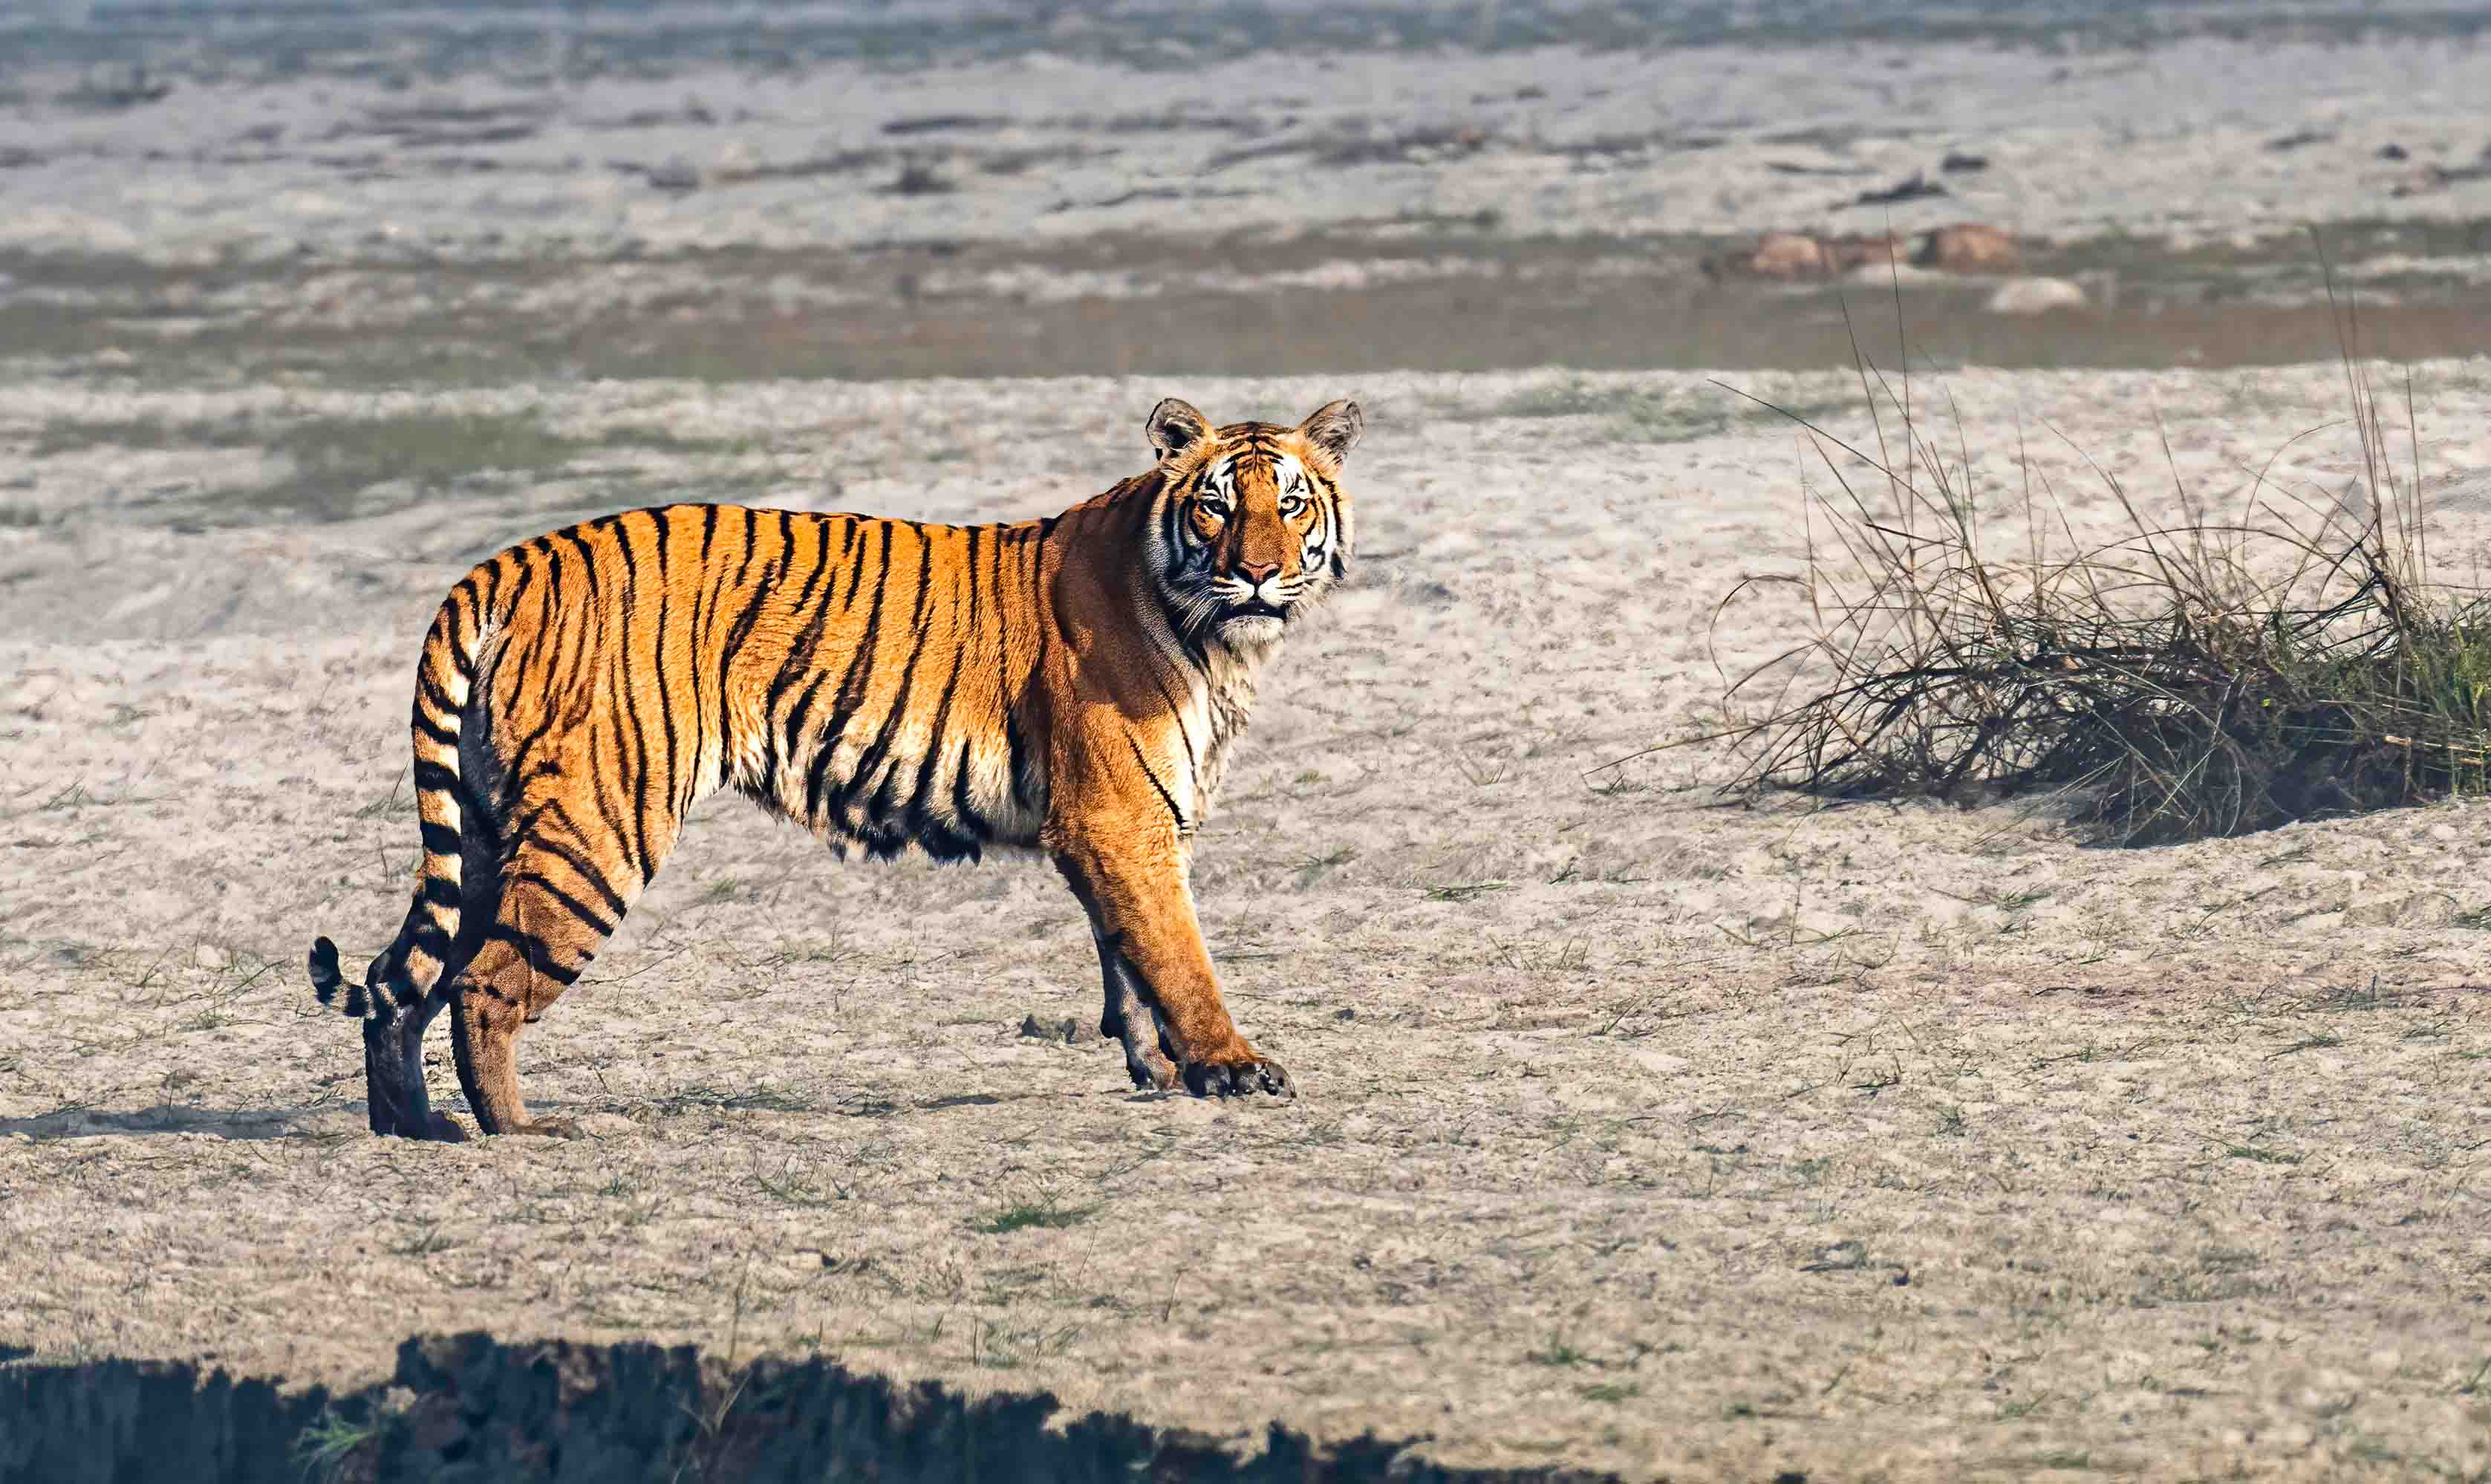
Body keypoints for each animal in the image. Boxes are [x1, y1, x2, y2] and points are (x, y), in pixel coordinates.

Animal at [307, 396, 1362, 1139]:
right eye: (1217, 506)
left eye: (1291, 502)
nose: (1260, 572)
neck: (1212, 636)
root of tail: (515, 560)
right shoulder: (1119, 817)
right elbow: (1178, 953)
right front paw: (1231, 1068)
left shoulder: (1127, 823)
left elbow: (1130, 957)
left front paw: (1160, 1068)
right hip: (598, 826)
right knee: (482, 983)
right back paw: (520, 1130)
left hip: (490, 825)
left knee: (399, 981)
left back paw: (415, 1128)